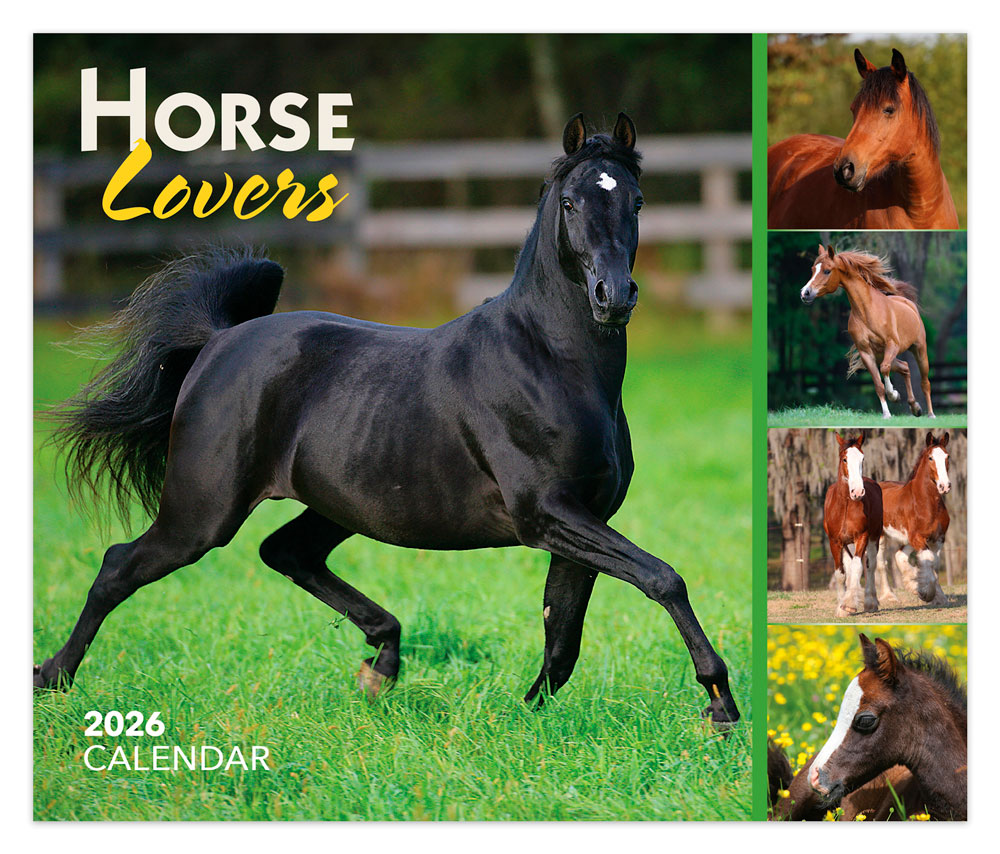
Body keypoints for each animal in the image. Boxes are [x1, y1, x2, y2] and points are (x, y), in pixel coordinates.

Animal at [33, 113, 740, 728]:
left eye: (638, 202)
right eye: (570, 202)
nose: (612, 298)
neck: (550, 362)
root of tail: (218, 341)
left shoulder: (583, 521)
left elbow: (562, 636)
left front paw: (522, 717)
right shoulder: (546, 515)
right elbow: (663, 579)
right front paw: (720, 706)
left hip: (336, 505)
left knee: (285, 552)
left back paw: (382, 664)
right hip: (202, 511)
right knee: (120, 565)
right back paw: (52, 677)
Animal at [800, 244, 933, 420]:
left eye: (827, 271)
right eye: (812, 269)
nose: (805, 293)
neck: (867, 311)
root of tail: (908, 303)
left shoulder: (892, 345)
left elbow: (884, 369)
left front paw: (893, 394)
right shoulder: (866, 353)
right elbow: (878, 384)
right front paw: (887, 413)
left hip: (919, 350)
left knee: (925, 382)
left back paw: (930, 414)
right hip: (881, 354)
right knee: (905, 367)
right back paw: (915, 407)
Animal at [823, 433, 882, 618]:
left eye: (862, 458)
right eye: (844, 459)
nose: (857, 492)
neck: (845, 506)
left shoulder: (862, 536)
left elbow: (858, 567)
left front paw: (849, 605)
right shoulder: (834, 541)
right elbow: (840, 573)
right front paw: (841, 608)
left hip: (874, 537)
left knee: (871, 565)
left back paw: (871, 602)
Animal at [875, 432, 951, 608]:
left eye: (947, 456)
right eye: (930, 457)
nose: (945, 486)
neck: (926, 503)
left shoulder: (938, 539)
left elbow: (935, 565)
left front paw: (938, 597)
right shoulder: (918, 538)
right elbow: (929, 561)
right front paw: (926, 594)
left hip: (908, 539)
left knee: (899, 554)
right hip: (881, 536)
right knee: (882, 563)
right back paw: (890, 596)